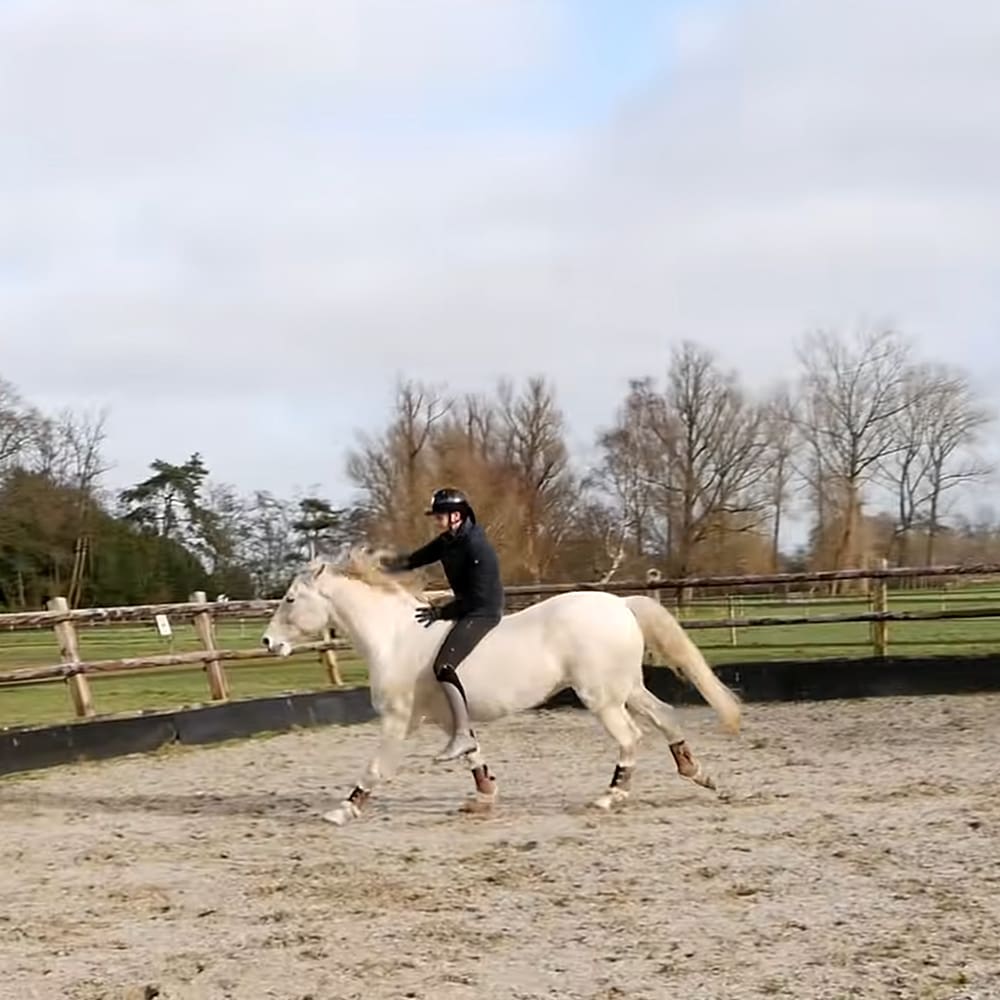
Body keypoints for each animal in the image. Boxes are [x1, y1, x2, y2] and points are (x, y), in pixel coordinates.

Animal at [261, 545, 742, 825]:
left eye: (290, 599)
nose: (268, 643)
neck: (395, 638)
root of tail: (620, 604)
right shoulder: (448, 719)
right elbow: (472, 753)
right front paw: (484, 799)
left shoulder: (399, 720)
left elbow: (376, 767)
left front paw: (344, 808)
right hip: (626, 689)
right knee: (666, 716)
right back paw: (698, 774)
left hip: (602, 697)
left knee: (630, 737)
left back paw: (610, 796)